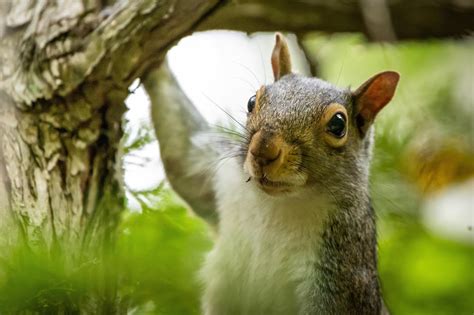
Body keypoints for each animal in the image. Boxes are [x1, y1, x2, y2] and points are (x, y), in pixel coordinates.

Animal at [146, 33, 398, 314]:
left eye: (338, 124)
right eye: (251, 101)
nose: (263, 149)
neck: (276, 202)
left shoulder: (343, 267)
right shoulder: (223, 178)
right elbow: (183, 159)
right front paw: (156, 62)